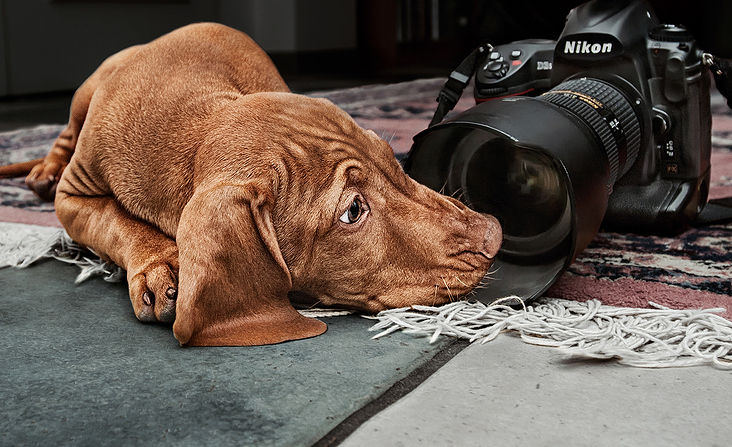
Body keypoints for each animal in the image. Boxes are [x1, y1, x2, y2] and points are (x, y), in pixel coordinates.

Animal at [0, 22, 500, 348]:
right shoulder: (74, 196)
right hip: (87, 92)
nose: (493, 234)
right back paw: (42, 172)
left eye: (393, 161)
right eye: (353, 211)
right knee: (64, 137)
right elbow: (113, 222)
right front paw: (160, 266)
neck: (194, 128)